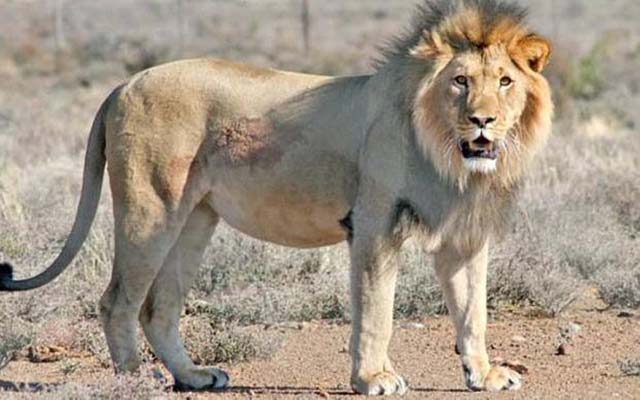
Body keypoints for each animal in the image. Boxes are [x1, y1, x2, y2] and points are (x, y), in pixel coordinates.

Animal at [0, 0, 552, 395]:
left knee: (158, 308)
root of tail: (123, 83)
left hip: (194, 219)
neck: (449, 156)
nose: (482, 120)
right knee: (118, 301)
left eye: (505, 81)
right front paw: (374, 379)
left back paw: (194, 377)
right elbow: (377, 312)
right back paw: (138, 383)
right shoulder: (375, 224)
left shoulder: (464, 235)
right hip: (150, 208)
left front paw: (484, 374)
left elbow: (473, 311)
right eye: (460, 81)